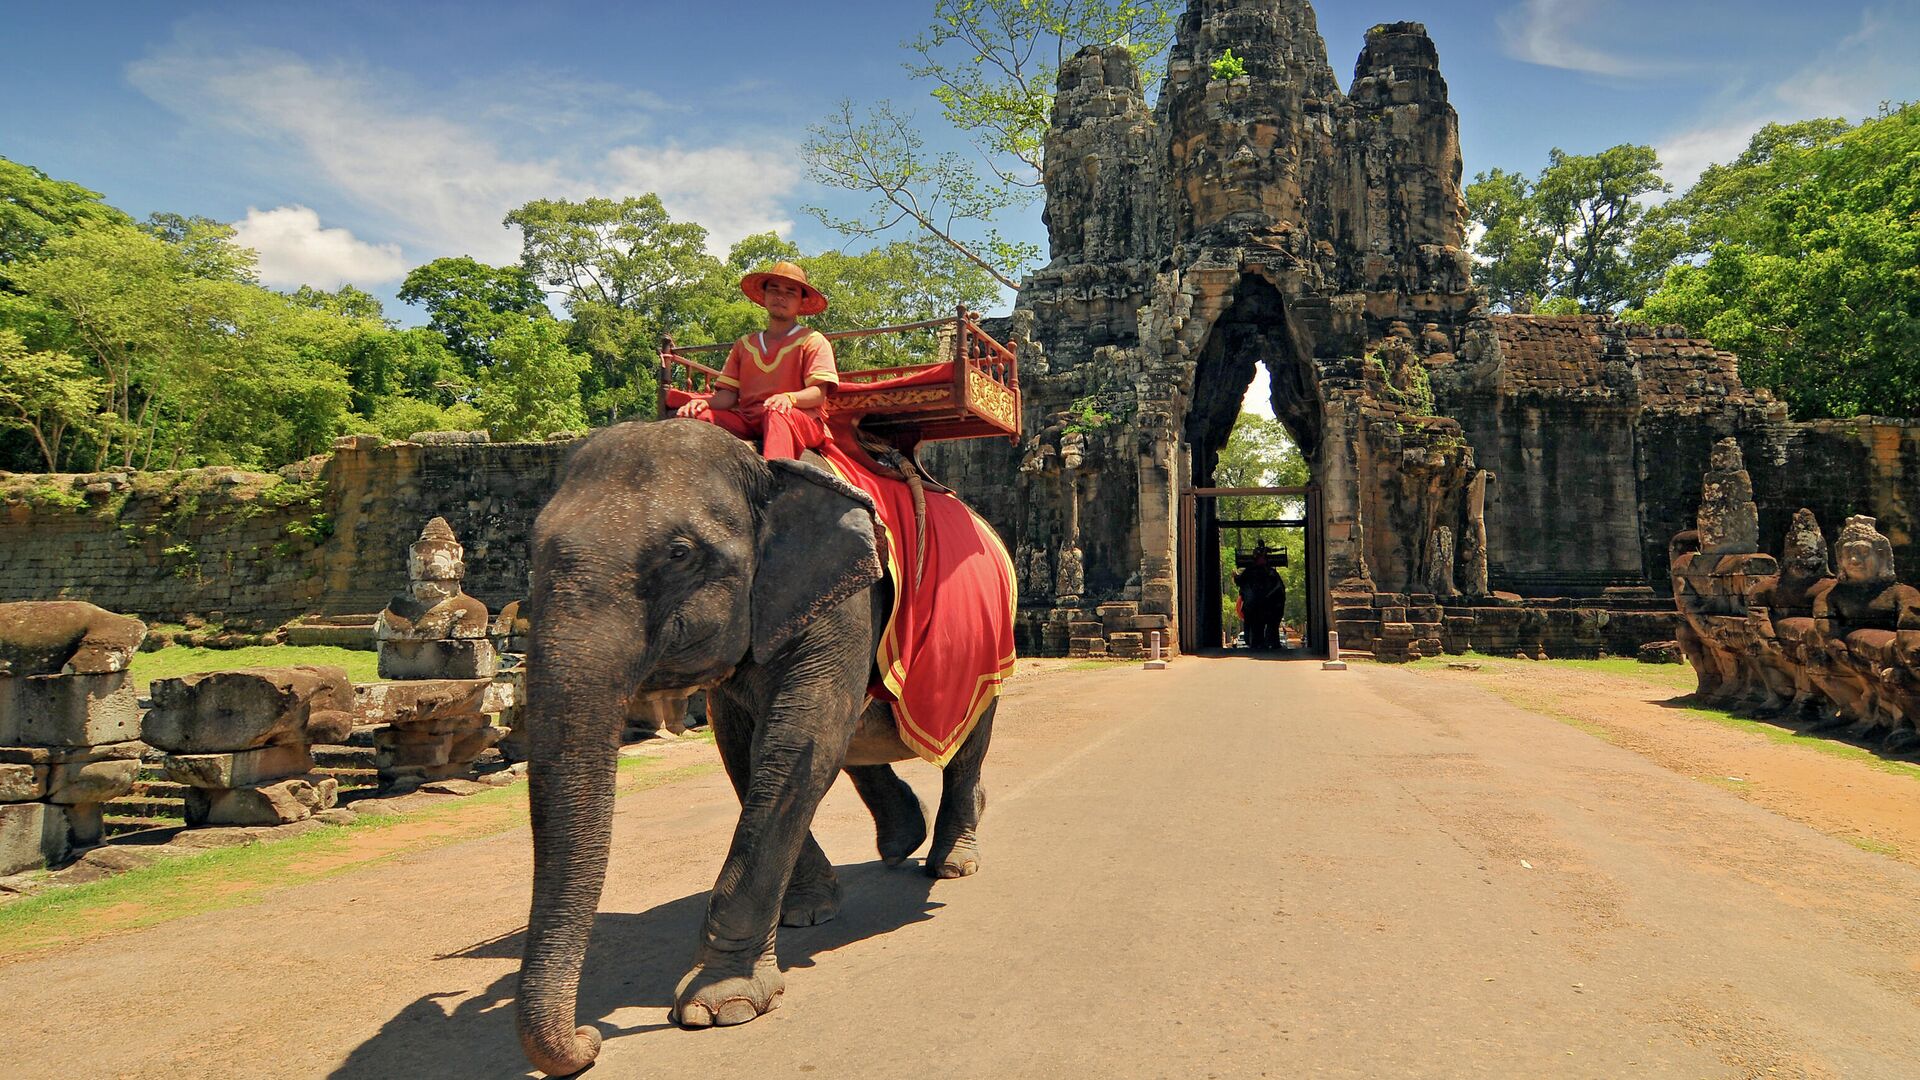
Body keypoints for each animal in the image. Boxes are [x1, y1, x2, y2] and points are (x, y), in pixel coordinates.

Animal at [518, 417, 998, 1068]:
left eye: (680, 554)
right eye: (533, 550)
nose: (588, 1040)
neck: (762, 464)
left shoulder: (844, 599)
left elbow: (799, 742)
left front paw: (720, 1006)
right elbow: (748, 750)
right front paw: (807, 913)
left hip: (985, 646)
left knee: (964, 744)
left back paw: (951, 863)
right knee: (859, 739)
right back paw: (902, 839)